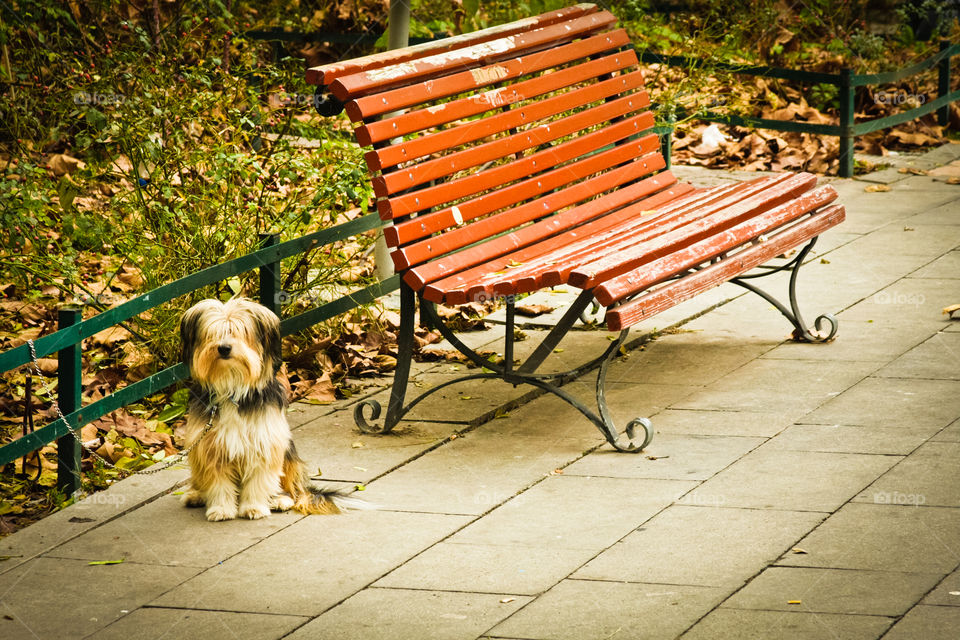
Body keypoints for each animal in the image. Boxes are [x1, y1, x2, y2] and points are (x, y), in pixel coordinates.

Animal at [177, 298, 364, 524]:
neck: (232, 385)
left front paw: (254, 507)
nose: (224, 348)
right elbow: (219, 484)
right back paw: (196, 494)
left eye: (239, 331)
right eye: (213, 333)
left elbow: (258, 481)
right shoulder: (211, 449)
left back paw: (279, 499)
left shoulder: (264, 444)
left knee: (290, 490)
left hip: (289, 457)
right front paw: (221, 508)